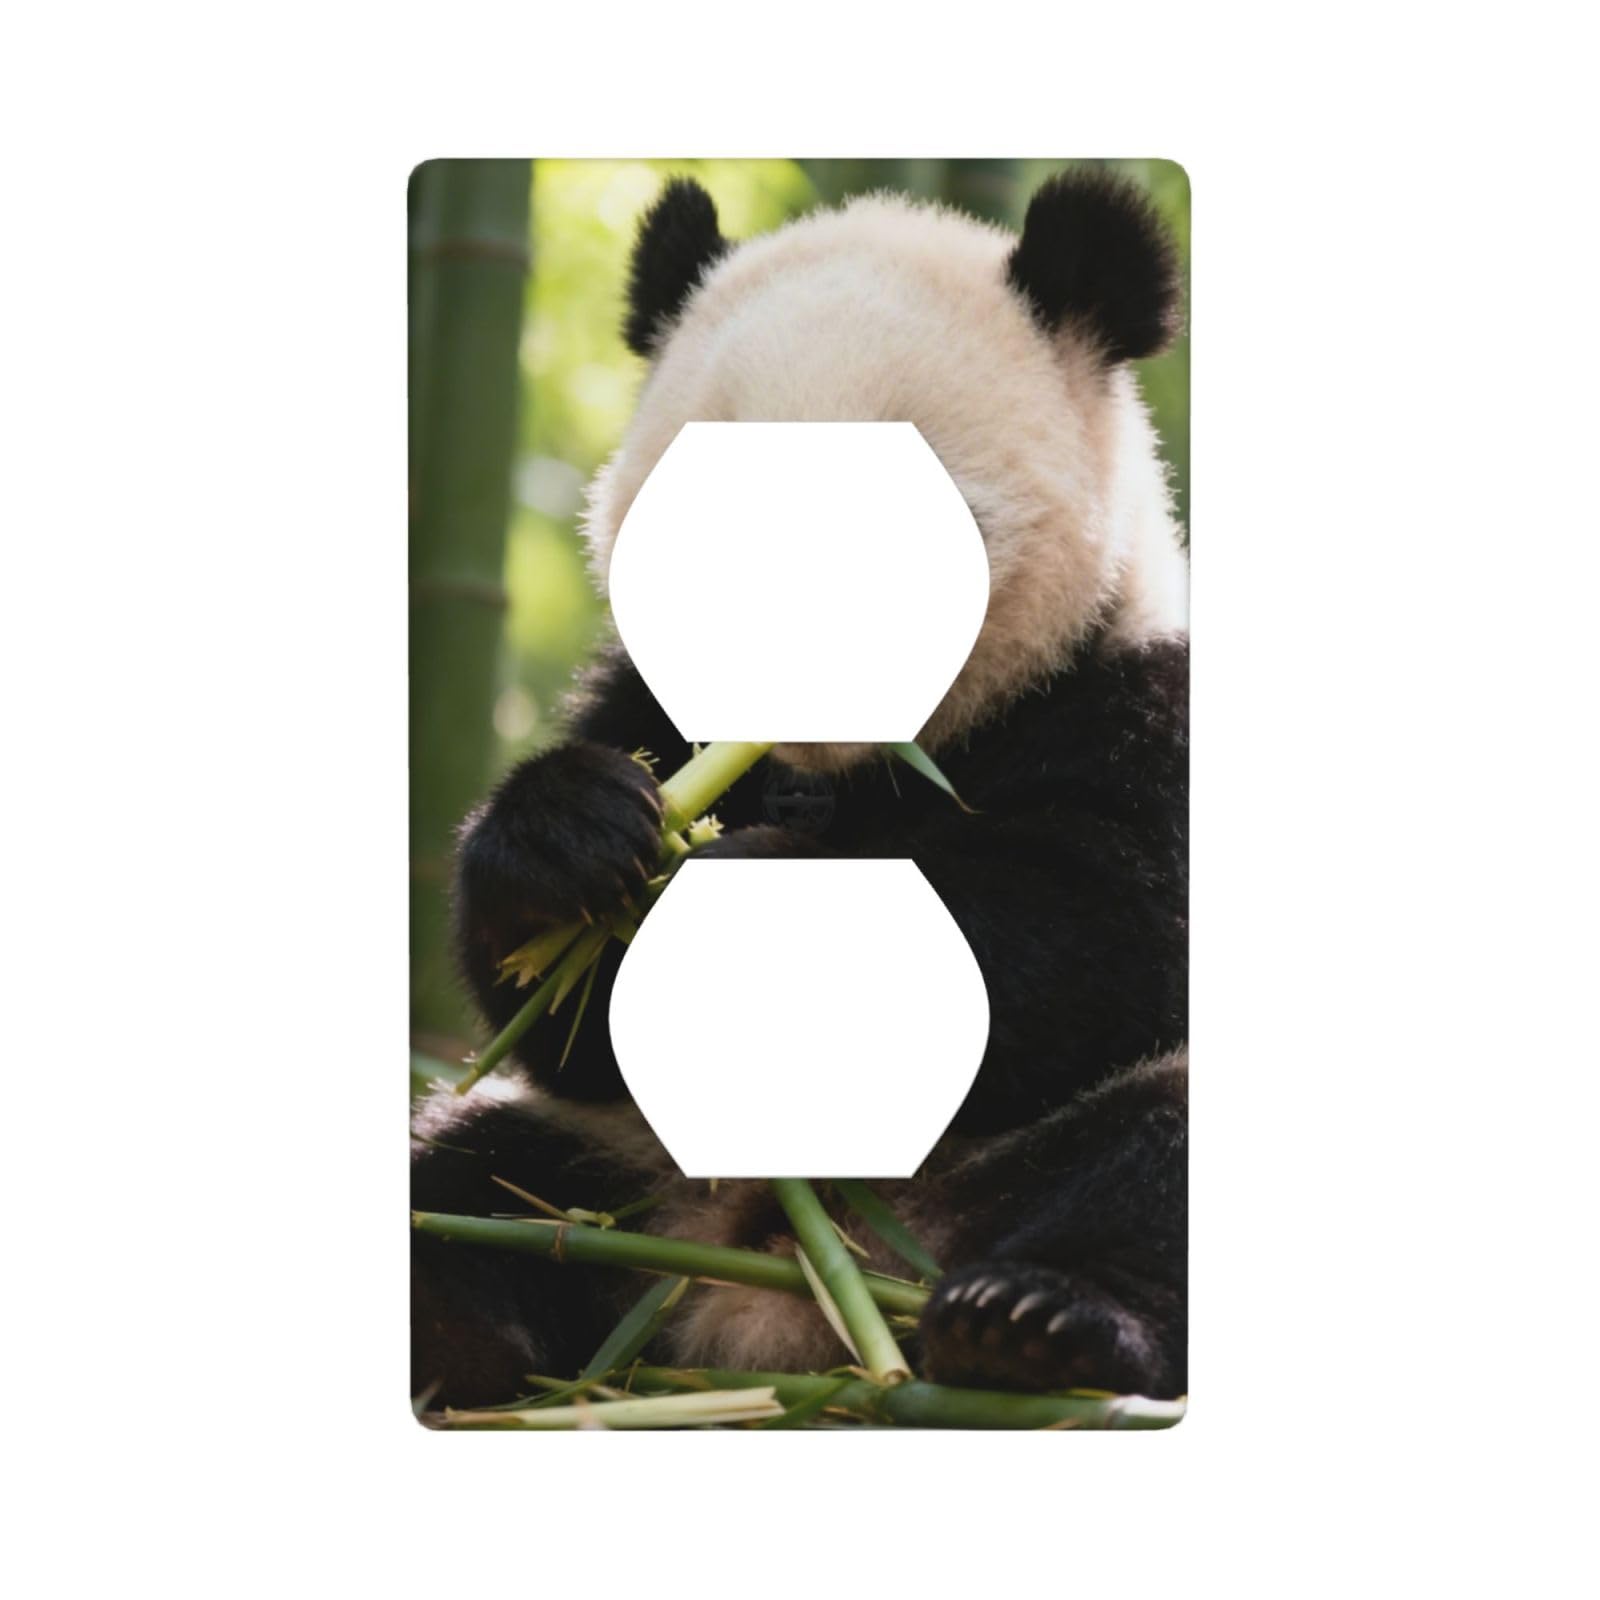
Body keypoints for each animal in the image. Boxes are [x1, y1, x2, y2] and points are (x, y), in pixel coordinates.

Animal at [412, 170, 1189, 1408]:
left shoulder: (1131, 702)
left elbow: (1101, 932)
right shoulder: (641, 701)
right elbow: (546, 1016)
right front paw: (571, 839)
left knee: (1157, 1159)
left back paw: (1036, 1324)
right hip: (612, 1166)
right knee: (466, 1181)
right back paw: (450, 1324)